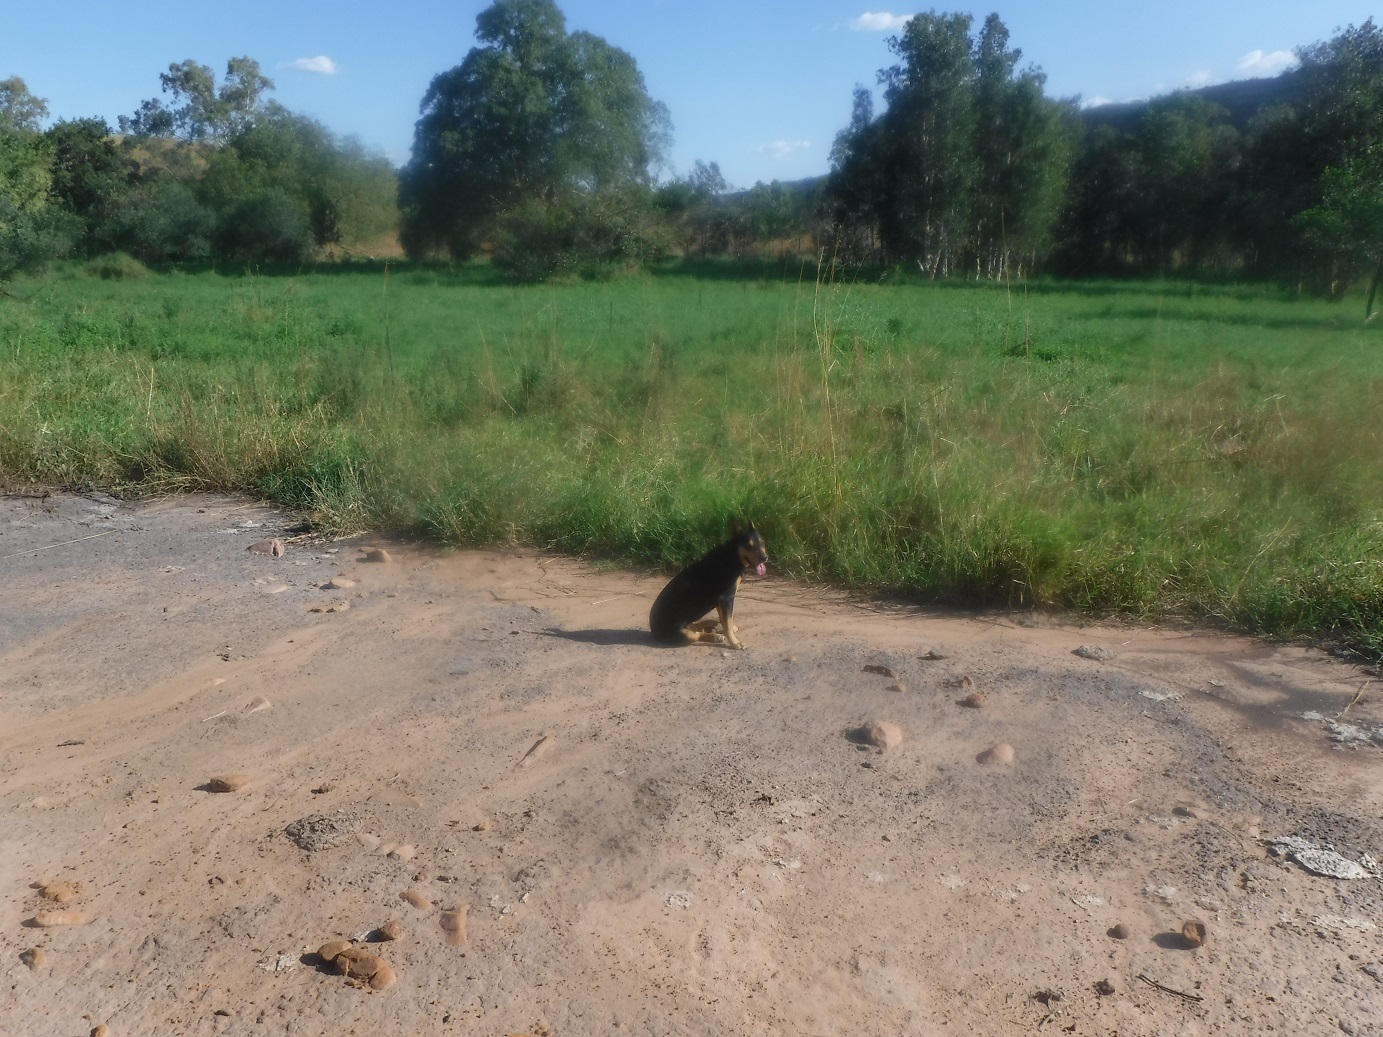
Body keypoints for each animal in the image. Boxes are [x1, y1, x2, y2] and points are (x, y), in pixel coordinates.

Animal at [647, 519, 768, 649]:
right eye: (749, 545)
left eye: (762, 543)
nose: (765, 557)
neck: (732, 555)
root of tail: (653, 632)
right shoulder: (726, 598)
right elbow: (727, 622)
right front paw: (735, 642)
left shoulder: (720, 601)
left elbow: (725, 621)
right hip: (684, 634)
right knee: (696, 634)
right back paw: (714, 636)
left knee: (694, 627)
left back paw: (709, 625)